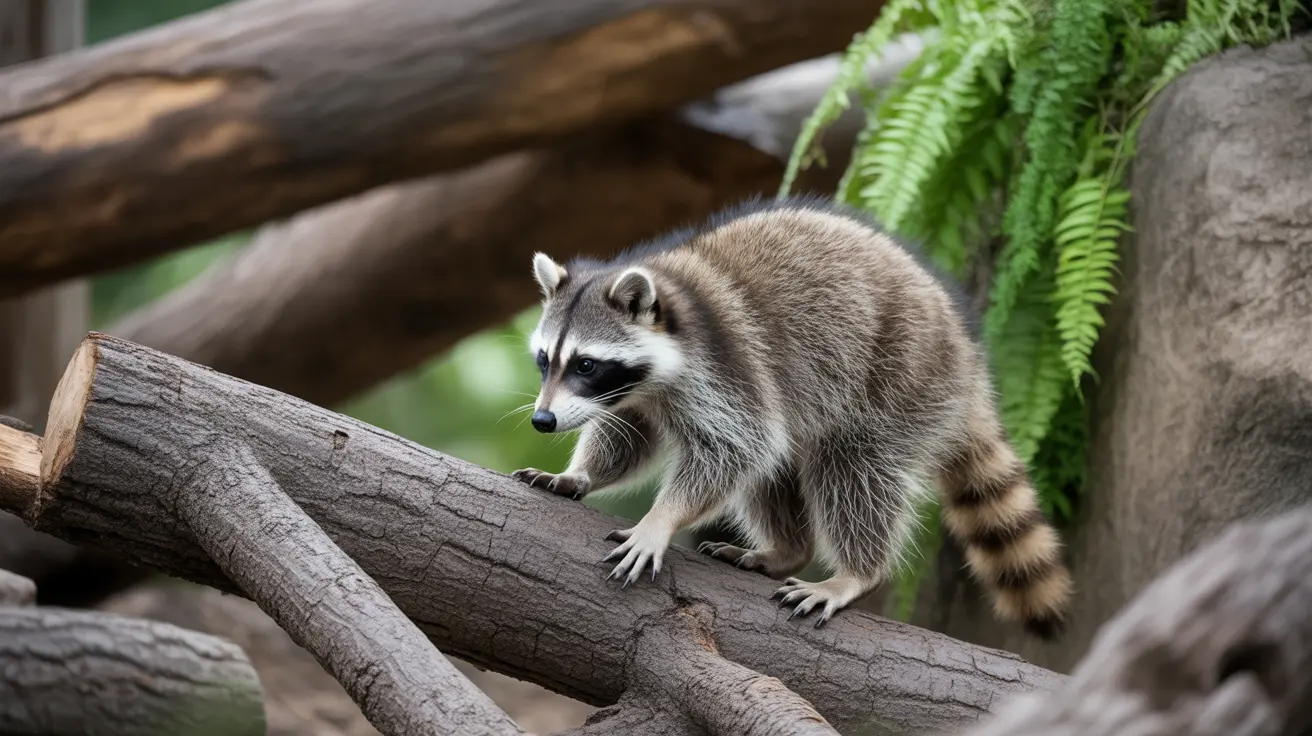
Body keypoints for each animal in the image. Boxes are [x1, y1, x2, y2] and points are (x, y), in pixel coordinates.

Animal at [511, 197, 1072, 637]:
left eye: (586, 364)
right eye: (543, 360)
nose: (543, 421)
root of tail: (968, 360)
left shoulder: (728, 366)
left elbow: (738, 446)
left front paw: (660, 519)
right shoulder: (633, 395)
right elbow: (629, 439)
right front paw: (579, 473)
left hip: (901, 375)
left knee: (853, 468)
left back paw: (856, 571)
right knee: (779, 466)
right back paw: (787, 549)